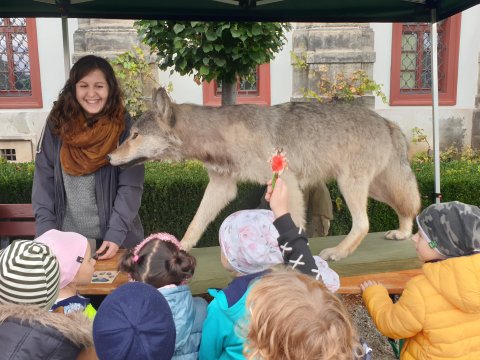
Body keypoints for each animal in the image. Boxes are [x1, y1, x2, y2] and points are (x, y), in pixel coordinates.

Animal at [109, 88, 420, 260]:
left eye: (135, 135)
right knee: (407, 209)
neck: (217, 137)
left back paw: (338, 252)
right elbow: (195, 223)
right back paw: (402, 233)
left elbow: (296, 226)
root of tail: (388, 122)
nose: (110, 157)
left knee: (364, 223)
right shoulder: (221, 187)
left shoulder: (288, 183)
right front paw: (180, 246)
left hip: (351, 185)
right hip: (376, 188)